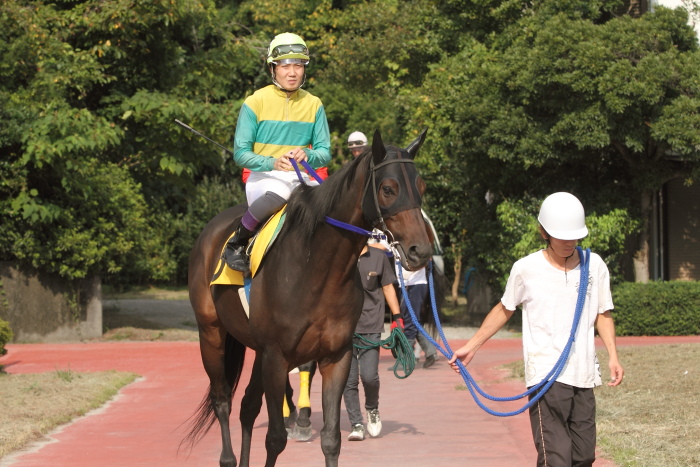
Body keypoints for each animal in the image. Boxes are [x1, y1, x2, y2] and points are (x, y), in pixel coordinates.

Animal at [183, 129, 430, 467]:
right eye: (389, 188)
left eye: (421, 187)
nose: (421, 251)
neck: (317, 269)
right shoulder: (276, 357)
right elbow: (275, 438)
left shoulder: (335, 356)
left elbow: (331, 439)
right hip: (211, 334)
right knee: (222, 401)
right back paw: (229, 457)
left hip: (257, 349)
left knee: (247, 406)